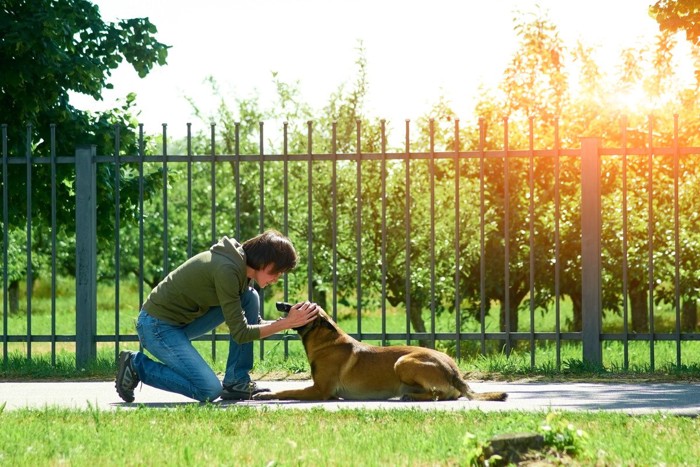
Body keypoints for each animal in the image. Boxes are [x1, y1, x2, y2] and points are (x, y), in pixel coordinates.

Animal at [254, 310, 506, 402]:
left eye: (296, 305)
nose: (280, 303)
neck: (326, 341)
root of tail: (454, 371)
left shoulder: (320, 391)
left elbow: (288, 391)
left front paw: (266, 395)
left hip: (403, 362)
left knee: (439, 394)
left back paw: (411, 397)